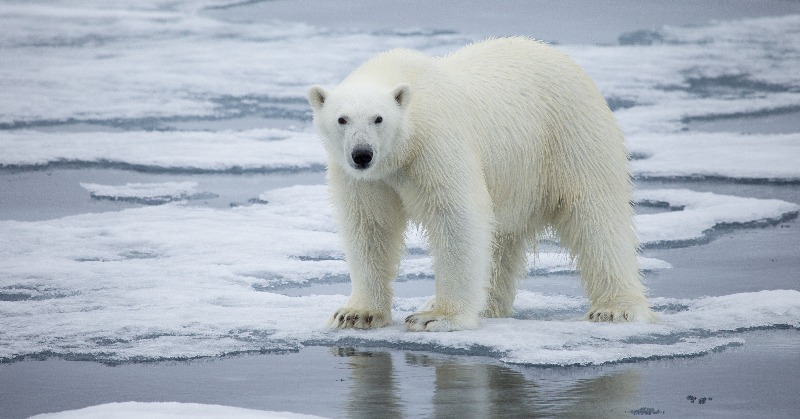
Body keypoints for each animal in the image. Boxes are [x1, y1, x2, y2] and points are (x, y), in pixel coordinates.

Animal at [306, 37, 648, 332]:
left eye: (378, 118)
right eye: (342, 119)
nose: (362, 154)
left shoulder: (436, 145)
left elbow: (456, 218)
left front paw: (437, 317)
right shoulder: (363, 179)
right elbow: (369, 226)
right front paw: (355, 314)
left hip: (570, 137)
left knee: (596, 216)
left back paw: (615, 308)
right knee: (501, 240)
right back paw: (486, 304)